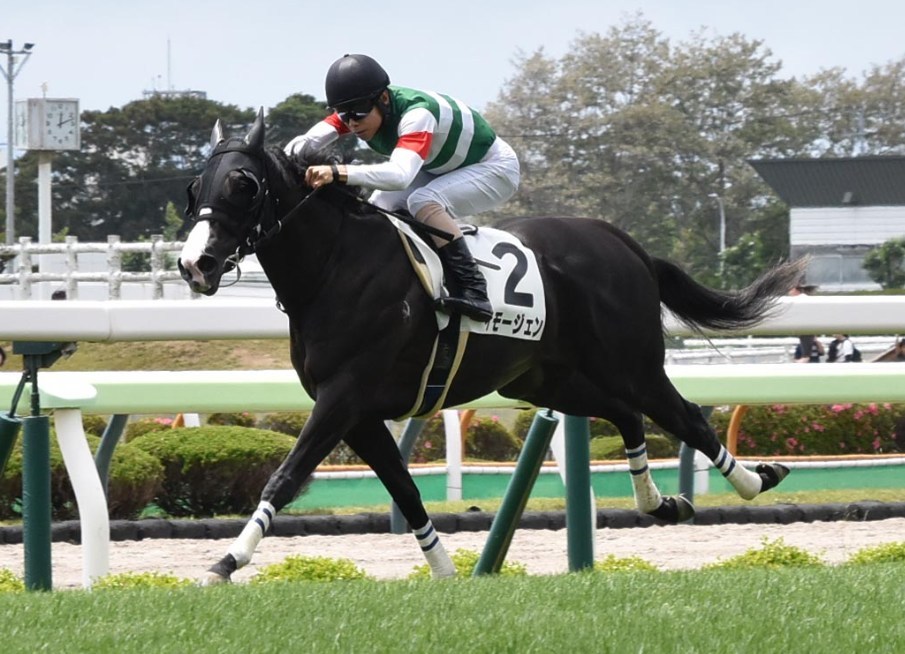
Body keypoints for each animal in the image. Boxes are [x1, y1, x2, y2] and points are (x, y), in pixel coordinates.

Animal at [179, 109, 805, 582]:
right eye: (194, 188)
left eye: (243, 184)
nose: (194, 263)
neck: (335, 266)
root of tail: (626, 245)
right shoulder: (358, 414)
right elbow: (405, 492)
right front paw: (447, 574)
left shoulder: (343, 398)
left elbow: (284, 477)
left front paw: (226, 562)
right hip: (545, 378)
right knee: (627, 415)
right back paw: (661, 503)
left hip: (632, 363)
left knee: (686, 416)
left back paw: (755, 480)